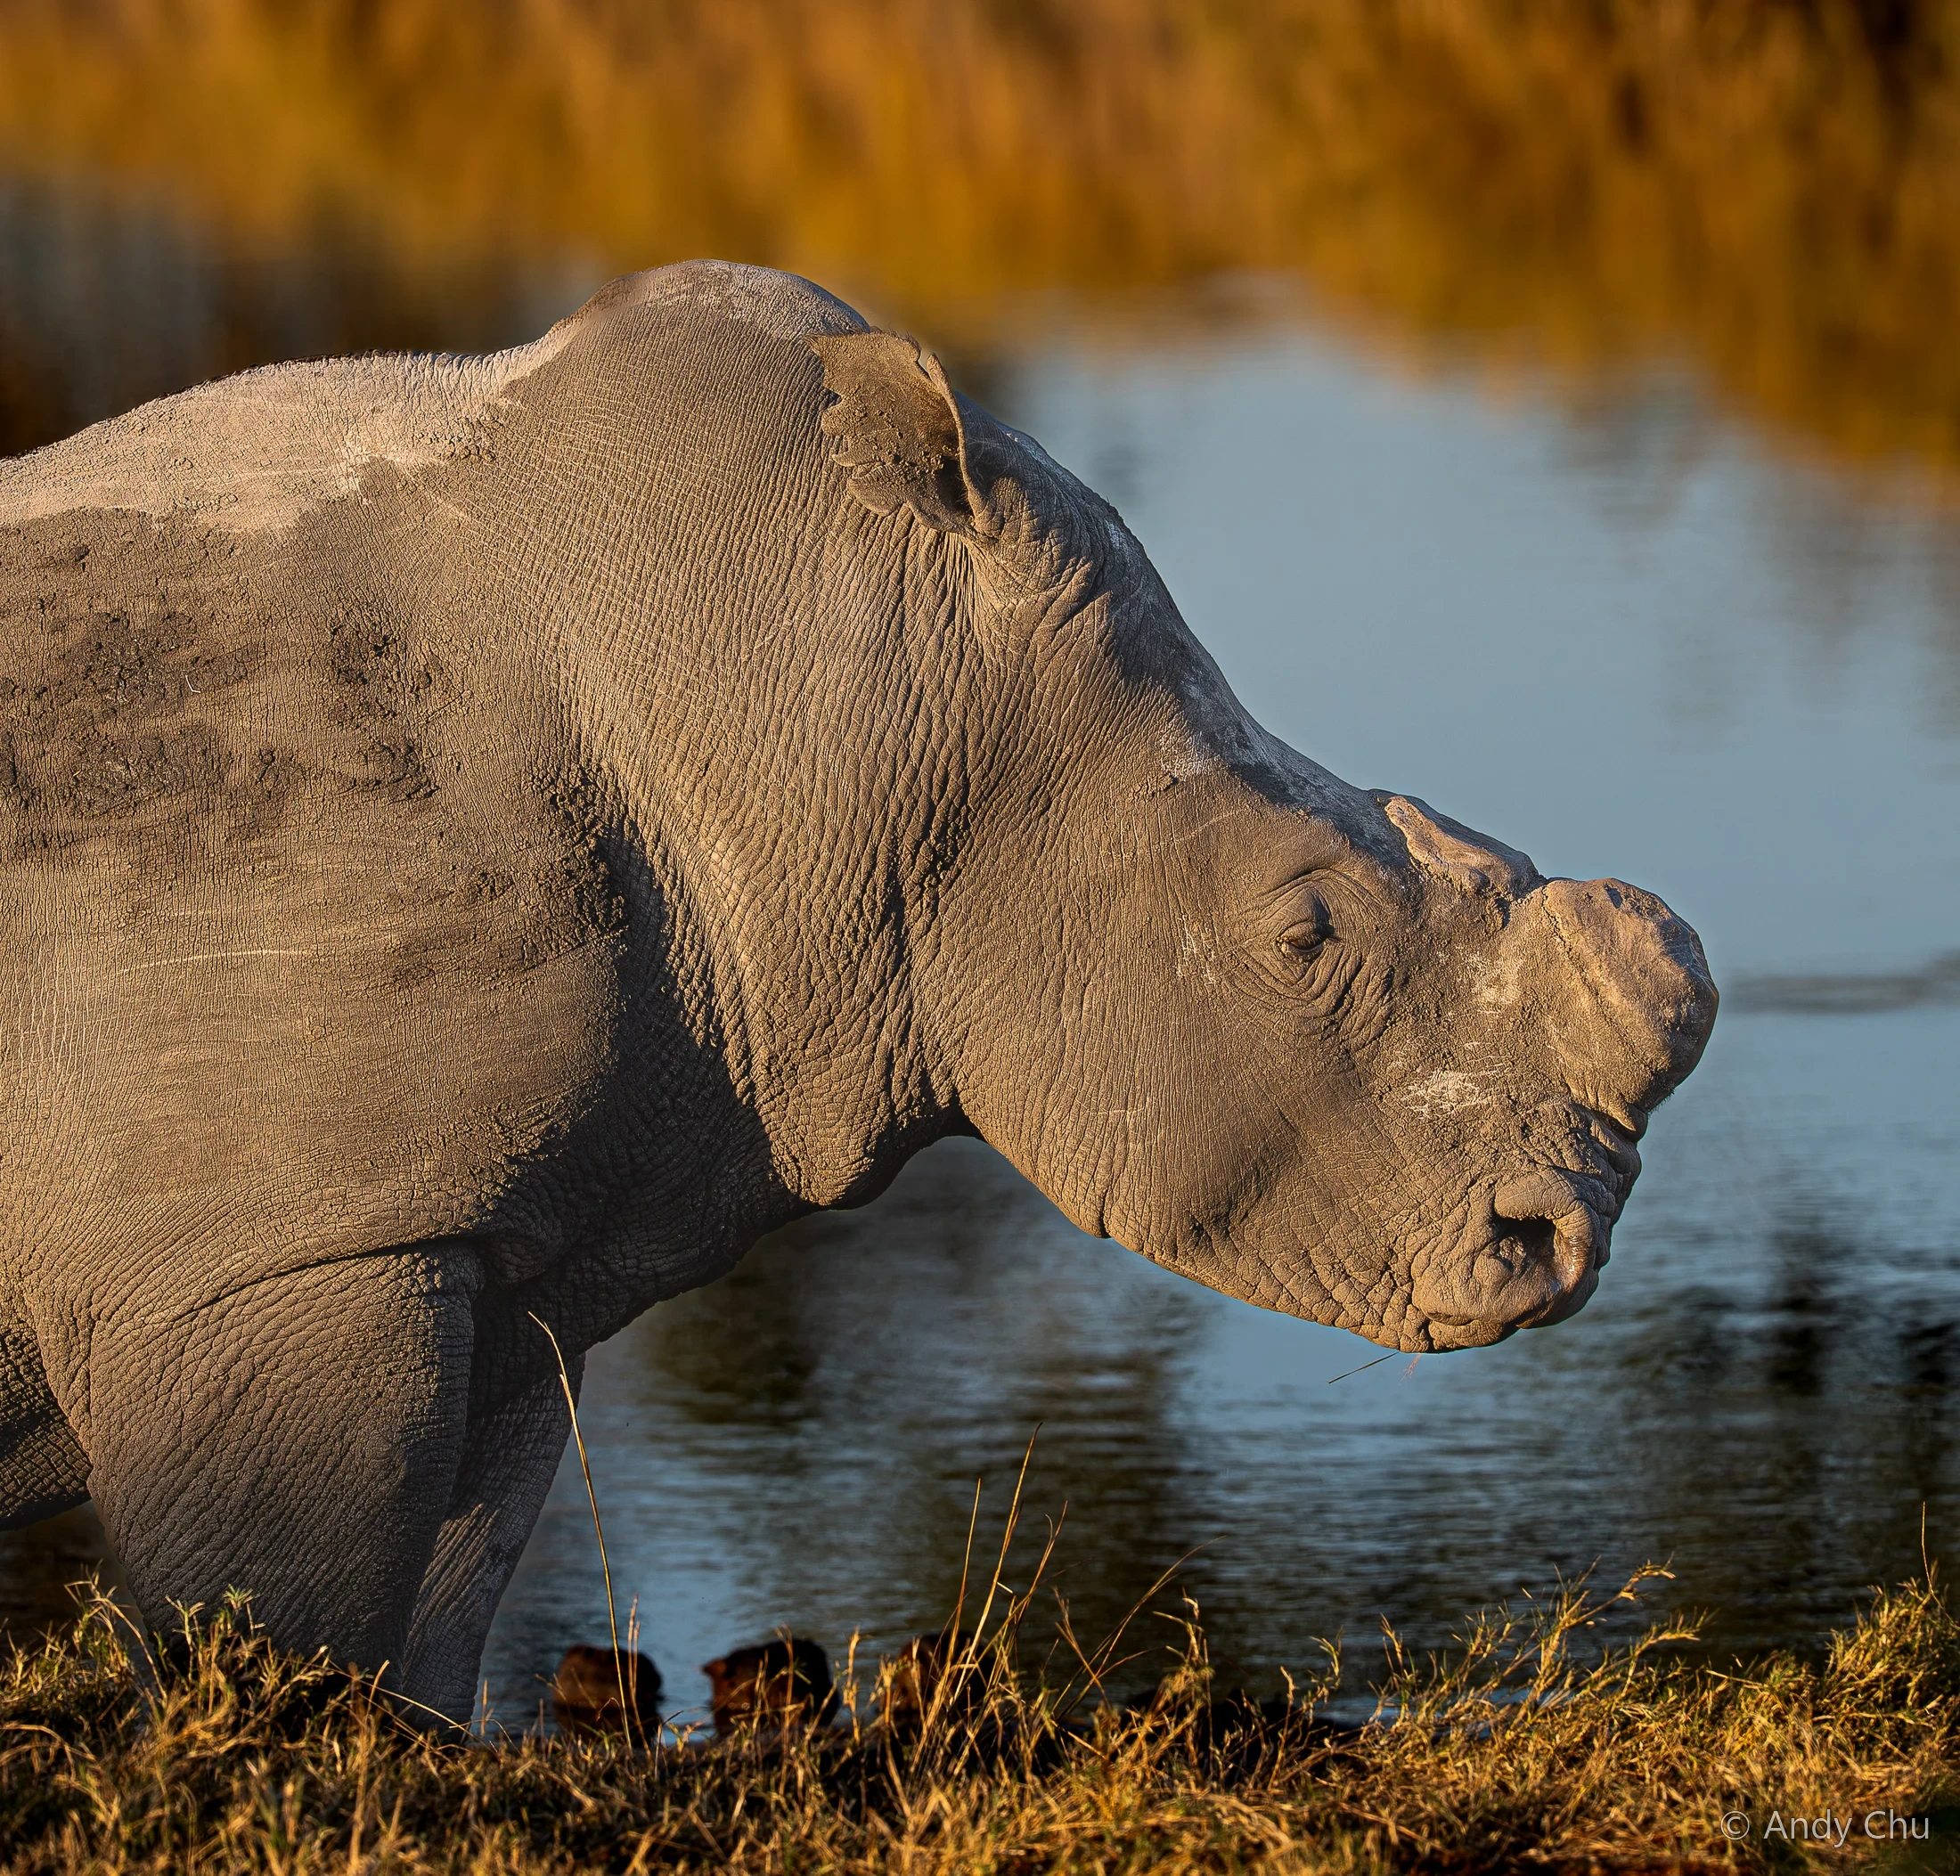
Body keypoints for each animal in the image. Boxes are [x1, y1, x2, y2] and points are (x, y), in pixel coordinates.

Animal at [0, 261, 1715, 1721]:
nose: (1564, 1239)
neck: (834, 708)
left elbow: (433, 1616)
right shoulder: (266, 1255)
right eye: (1306, 939)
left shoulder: (495, 1249)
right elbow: (293, 1625)